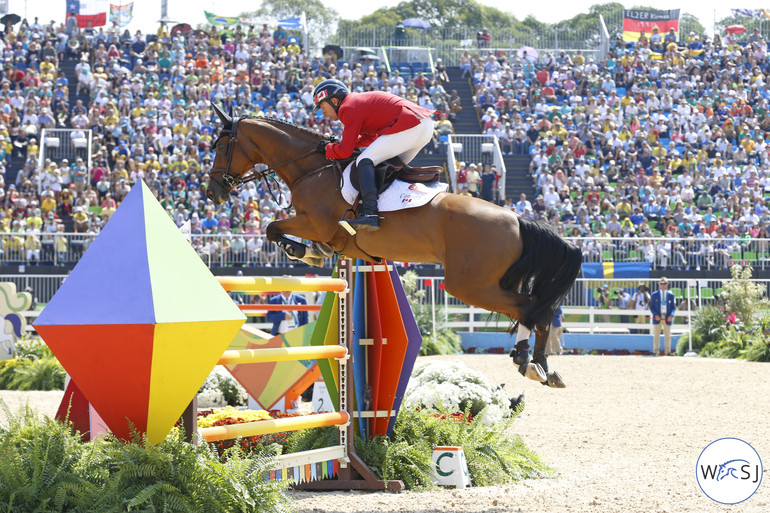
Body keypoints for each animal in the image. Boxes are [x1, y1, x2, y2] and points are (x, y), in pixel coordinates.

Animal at [207, 103, 580, 384]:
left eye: (222, 147)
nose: (213, 193)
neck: (311, 168)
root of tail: (517, 220)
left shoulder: (316, 222)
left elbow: (273, 228)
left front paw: (301, 251)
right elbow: (287, 232)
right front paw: (314, 252)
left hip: (469, 285)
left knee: (531, 307)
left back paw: (531, 363)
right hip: (491, 281)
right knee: (536, 309)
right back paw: (537, 363)